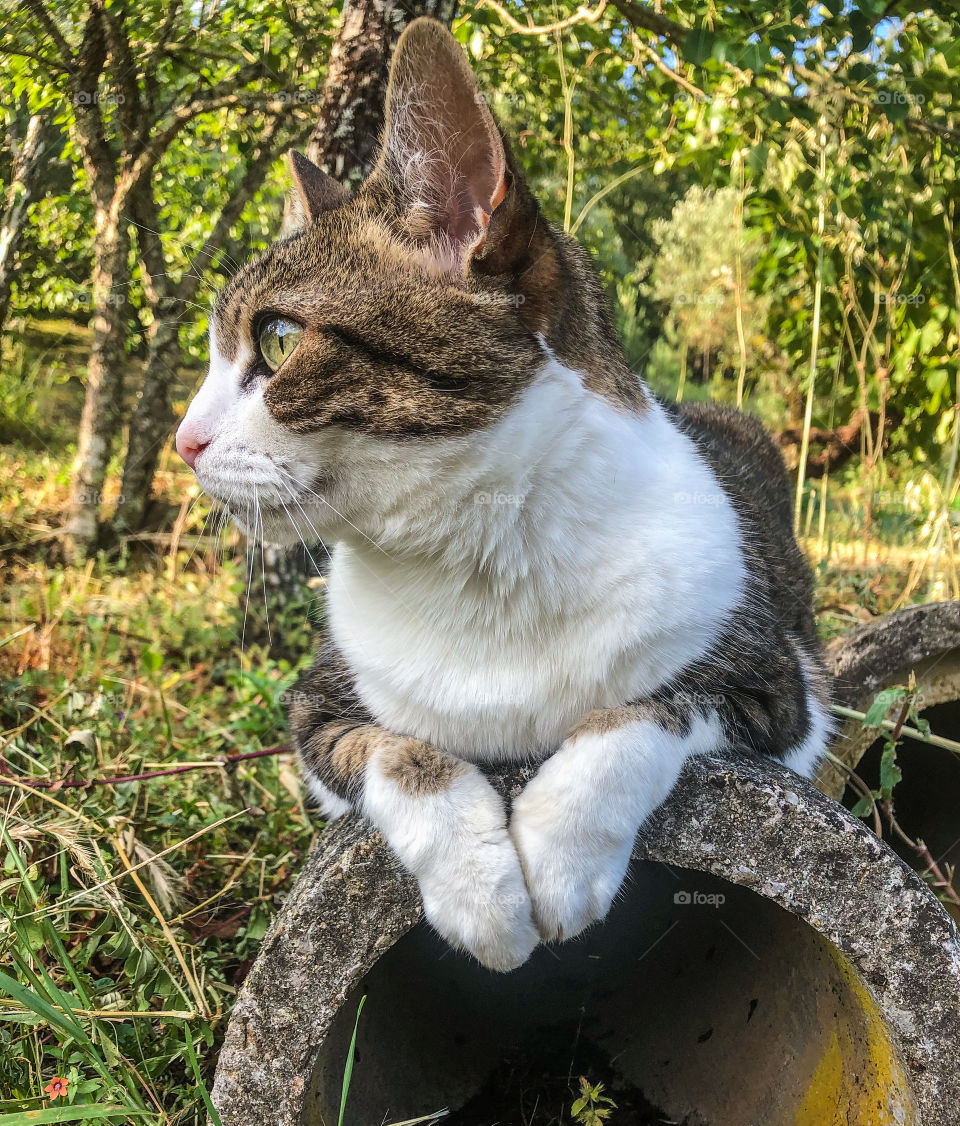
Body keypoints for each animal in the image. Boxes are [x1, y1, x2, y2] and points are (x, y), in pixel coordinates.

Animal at [175, 15, 837, 968]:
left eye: (277, 339)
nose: (182, 441)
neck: (476, 556)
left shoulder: (780, 689)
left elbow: (645, 712)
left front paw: (562, 858)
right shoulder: (316, 703)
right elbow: (392, 751)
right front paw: (481, 894)